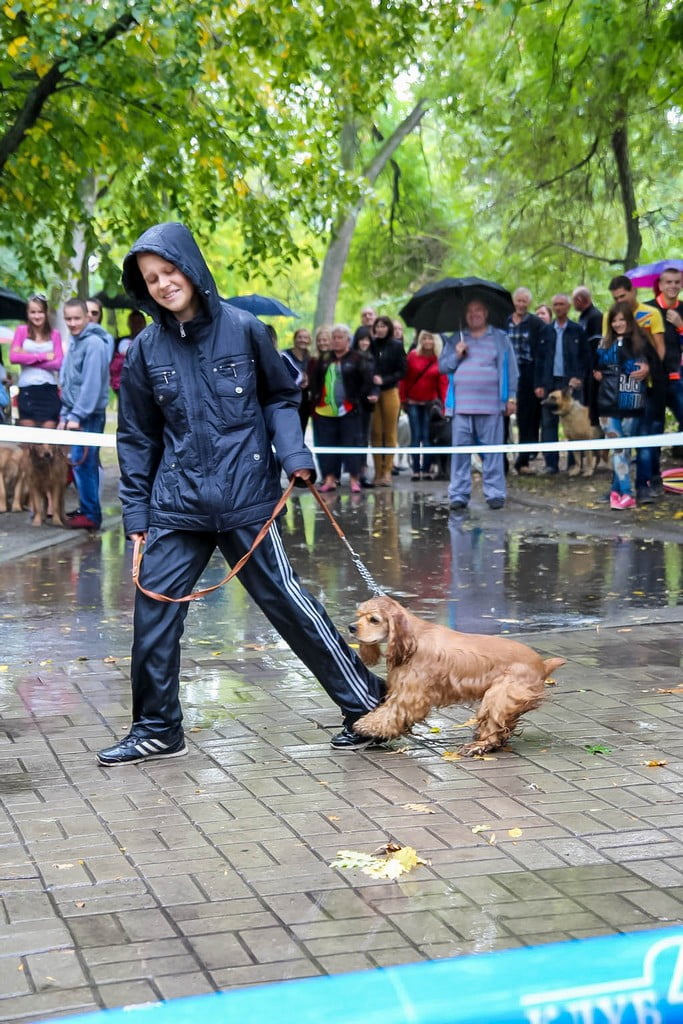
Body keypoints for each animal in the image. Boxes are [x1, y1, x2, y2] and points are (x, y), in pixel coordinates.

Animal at [352, 598, 565, 757]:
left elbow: (390, 712)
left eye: (374, 619)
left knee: (495, 729)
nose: (351, 627)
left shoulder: (412, 695)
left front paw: (365, 725)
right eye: (358, 615)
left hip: (499, 696)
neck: (413, 639)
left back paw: (477, 747)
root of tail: (542, 664)